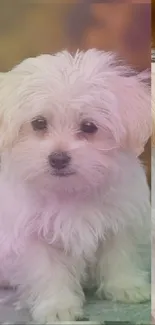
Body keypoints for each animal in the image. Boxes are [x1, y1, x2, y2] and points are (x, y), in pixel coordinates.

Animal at [0, 50, 151, 322]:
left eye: (89, 127)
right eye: (39, 123)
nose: (58, 158)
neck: (70, 191)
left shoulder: (120, 219)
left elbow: (119, 255)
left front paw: (126, 286)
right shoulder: (32, 233)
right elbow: (47, 271)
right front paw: (57, 306)